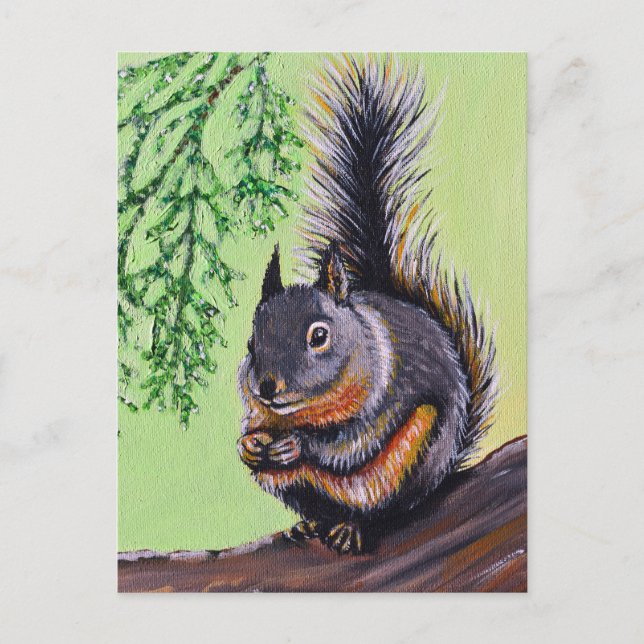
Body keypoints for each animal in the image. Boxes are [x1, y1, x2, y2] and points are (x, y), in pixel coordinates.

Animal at [237, 57, 497, 555]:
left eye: (319, 336)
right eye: (250, 344)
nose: (267, 386)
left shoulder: (383, 395)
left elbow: (348, 444)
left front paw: (298, 445)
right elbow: (250, 434)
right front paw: (250, 445)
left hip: (408, 459)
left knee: (379, 507)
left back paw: (350, 527)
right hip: (288, 485)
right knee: (314, 503)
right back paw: (309, 523)